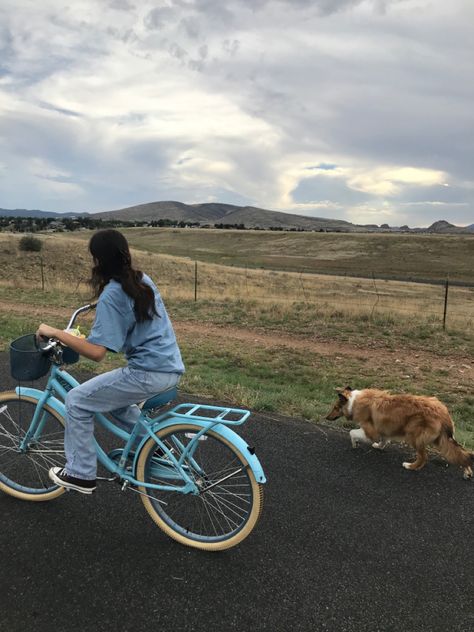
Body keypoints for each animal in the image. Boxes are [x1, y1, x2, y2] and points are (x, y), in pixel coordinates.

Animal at [328, 386, 472, 478]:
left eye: (335, 407)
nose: (326, 417)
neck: (353, 402)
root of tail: (443, 412)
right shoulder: (383, 429)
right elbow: (384, 439)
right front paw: (379, 446)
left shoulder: (370, 430)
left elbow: (352, 432)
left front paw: (354, 444)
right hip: (442, 439)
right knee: (460, 453)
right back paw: (467, 472)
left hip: (415, 436)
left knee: (424, 457)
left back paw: (410, 466)